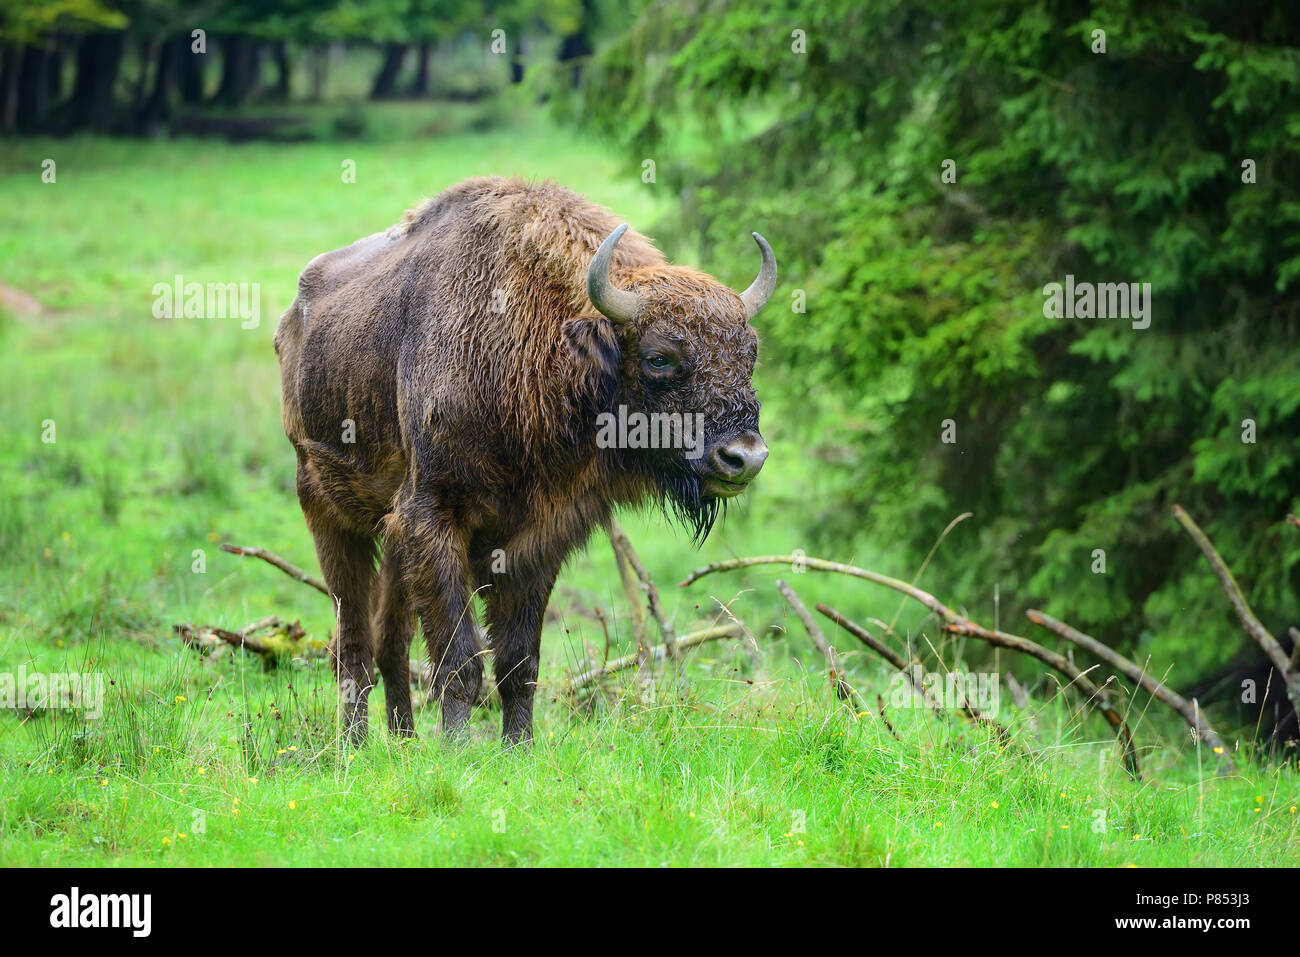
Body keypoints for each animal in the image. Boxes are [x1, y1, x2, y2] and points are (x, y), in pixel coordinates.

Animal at [274, 176, 775, 744]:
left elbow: (518, 662)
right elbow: (460, 660)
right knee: (353, 643)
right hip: (327, 512)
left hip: (391, 537)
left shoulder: (537, 539)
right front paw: (457, 749)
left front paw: (518, 748)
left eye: (750, 353)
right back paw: (355, 745)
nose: (745, 457)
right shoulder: (433, 517)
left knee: (390, 639)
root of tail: (294, 318)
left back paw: (403, 740)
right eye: (659, 357)